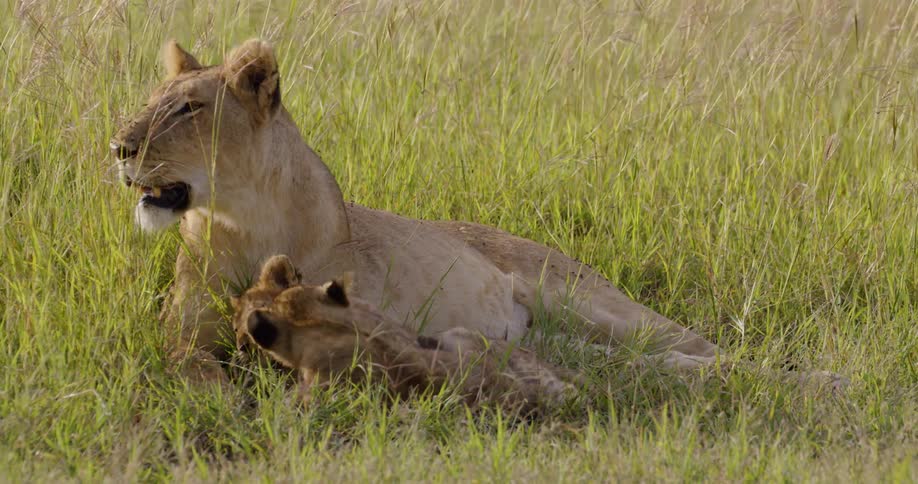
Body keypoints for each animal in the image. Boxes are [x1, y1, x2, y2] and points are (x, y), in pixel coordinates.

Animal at [111, 39, 719, 382]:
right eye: (151, 101)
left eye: (189, 109)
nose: (117, 147)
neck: (244, 221)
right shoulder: (182, 337)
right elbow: (196, 373)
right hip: (539, 335)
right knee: (600, 356)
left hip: (582, 298)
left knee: (700, 346)